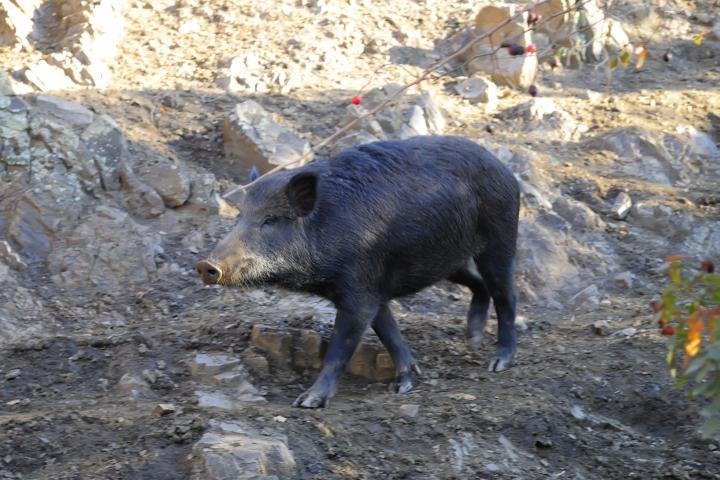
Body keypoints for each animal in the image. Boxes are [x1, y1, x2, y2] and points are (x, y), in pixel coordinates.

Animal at [197, 135, 520, 408]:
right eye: (239, 216)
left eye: (270, 220)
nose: (205, 265)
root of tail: (505, 169)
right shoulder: (373, 289)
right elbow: (388, 331)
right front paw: (405, 385)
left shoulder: (359, 290)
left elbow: (340, 348)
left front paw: (307, 402)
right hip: (449, 260)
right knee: (479, 285)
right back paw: (471, 338)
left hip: (500, 236)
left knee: (506, 294)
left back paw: (498, 363)